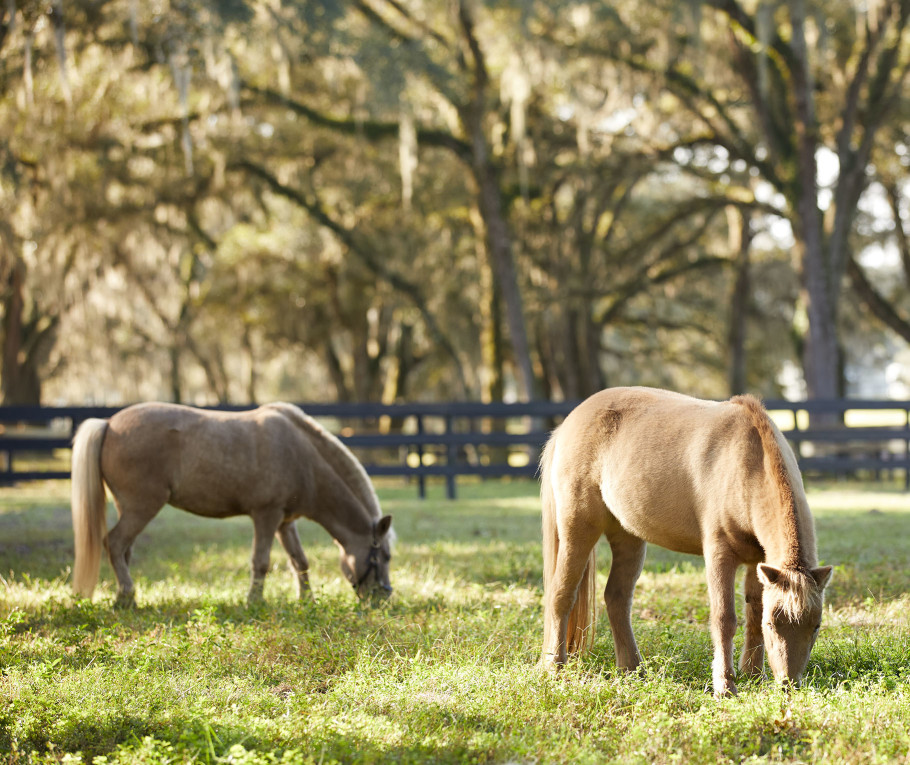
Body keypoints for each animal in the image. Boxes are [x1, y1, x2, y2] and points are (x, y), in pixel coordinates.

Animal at [72, 402, 396, 604]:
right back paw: (127, 596)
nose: (385, 596)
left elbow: (299, 561)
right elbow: (261, 562)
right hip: (142, 507)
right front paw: (255, 600)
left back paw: (124, 595)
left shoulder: (285, 522)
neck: (303, 456)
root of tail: (109, 424)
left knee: (123, 550)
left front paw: (307, 600)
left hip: (127, 507)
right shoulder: (266, 515)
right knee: (114, 543)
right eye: (383, 556)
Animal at [540, 390, 832, 696]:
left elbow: (752, 612)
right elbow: (724, 619)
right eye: (773, 624)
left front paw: (753, 675)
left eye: (816, 626)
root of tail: (567, 425)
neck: (747, 463)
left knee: (617, 598)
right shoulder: (719, 555)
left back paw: (633, 669)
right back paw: (554, 666)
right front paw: (725, 685)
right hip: (578, 530)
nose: (789, 684)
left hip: (628, 538)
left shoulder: (757, 561)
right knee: (562, 594)